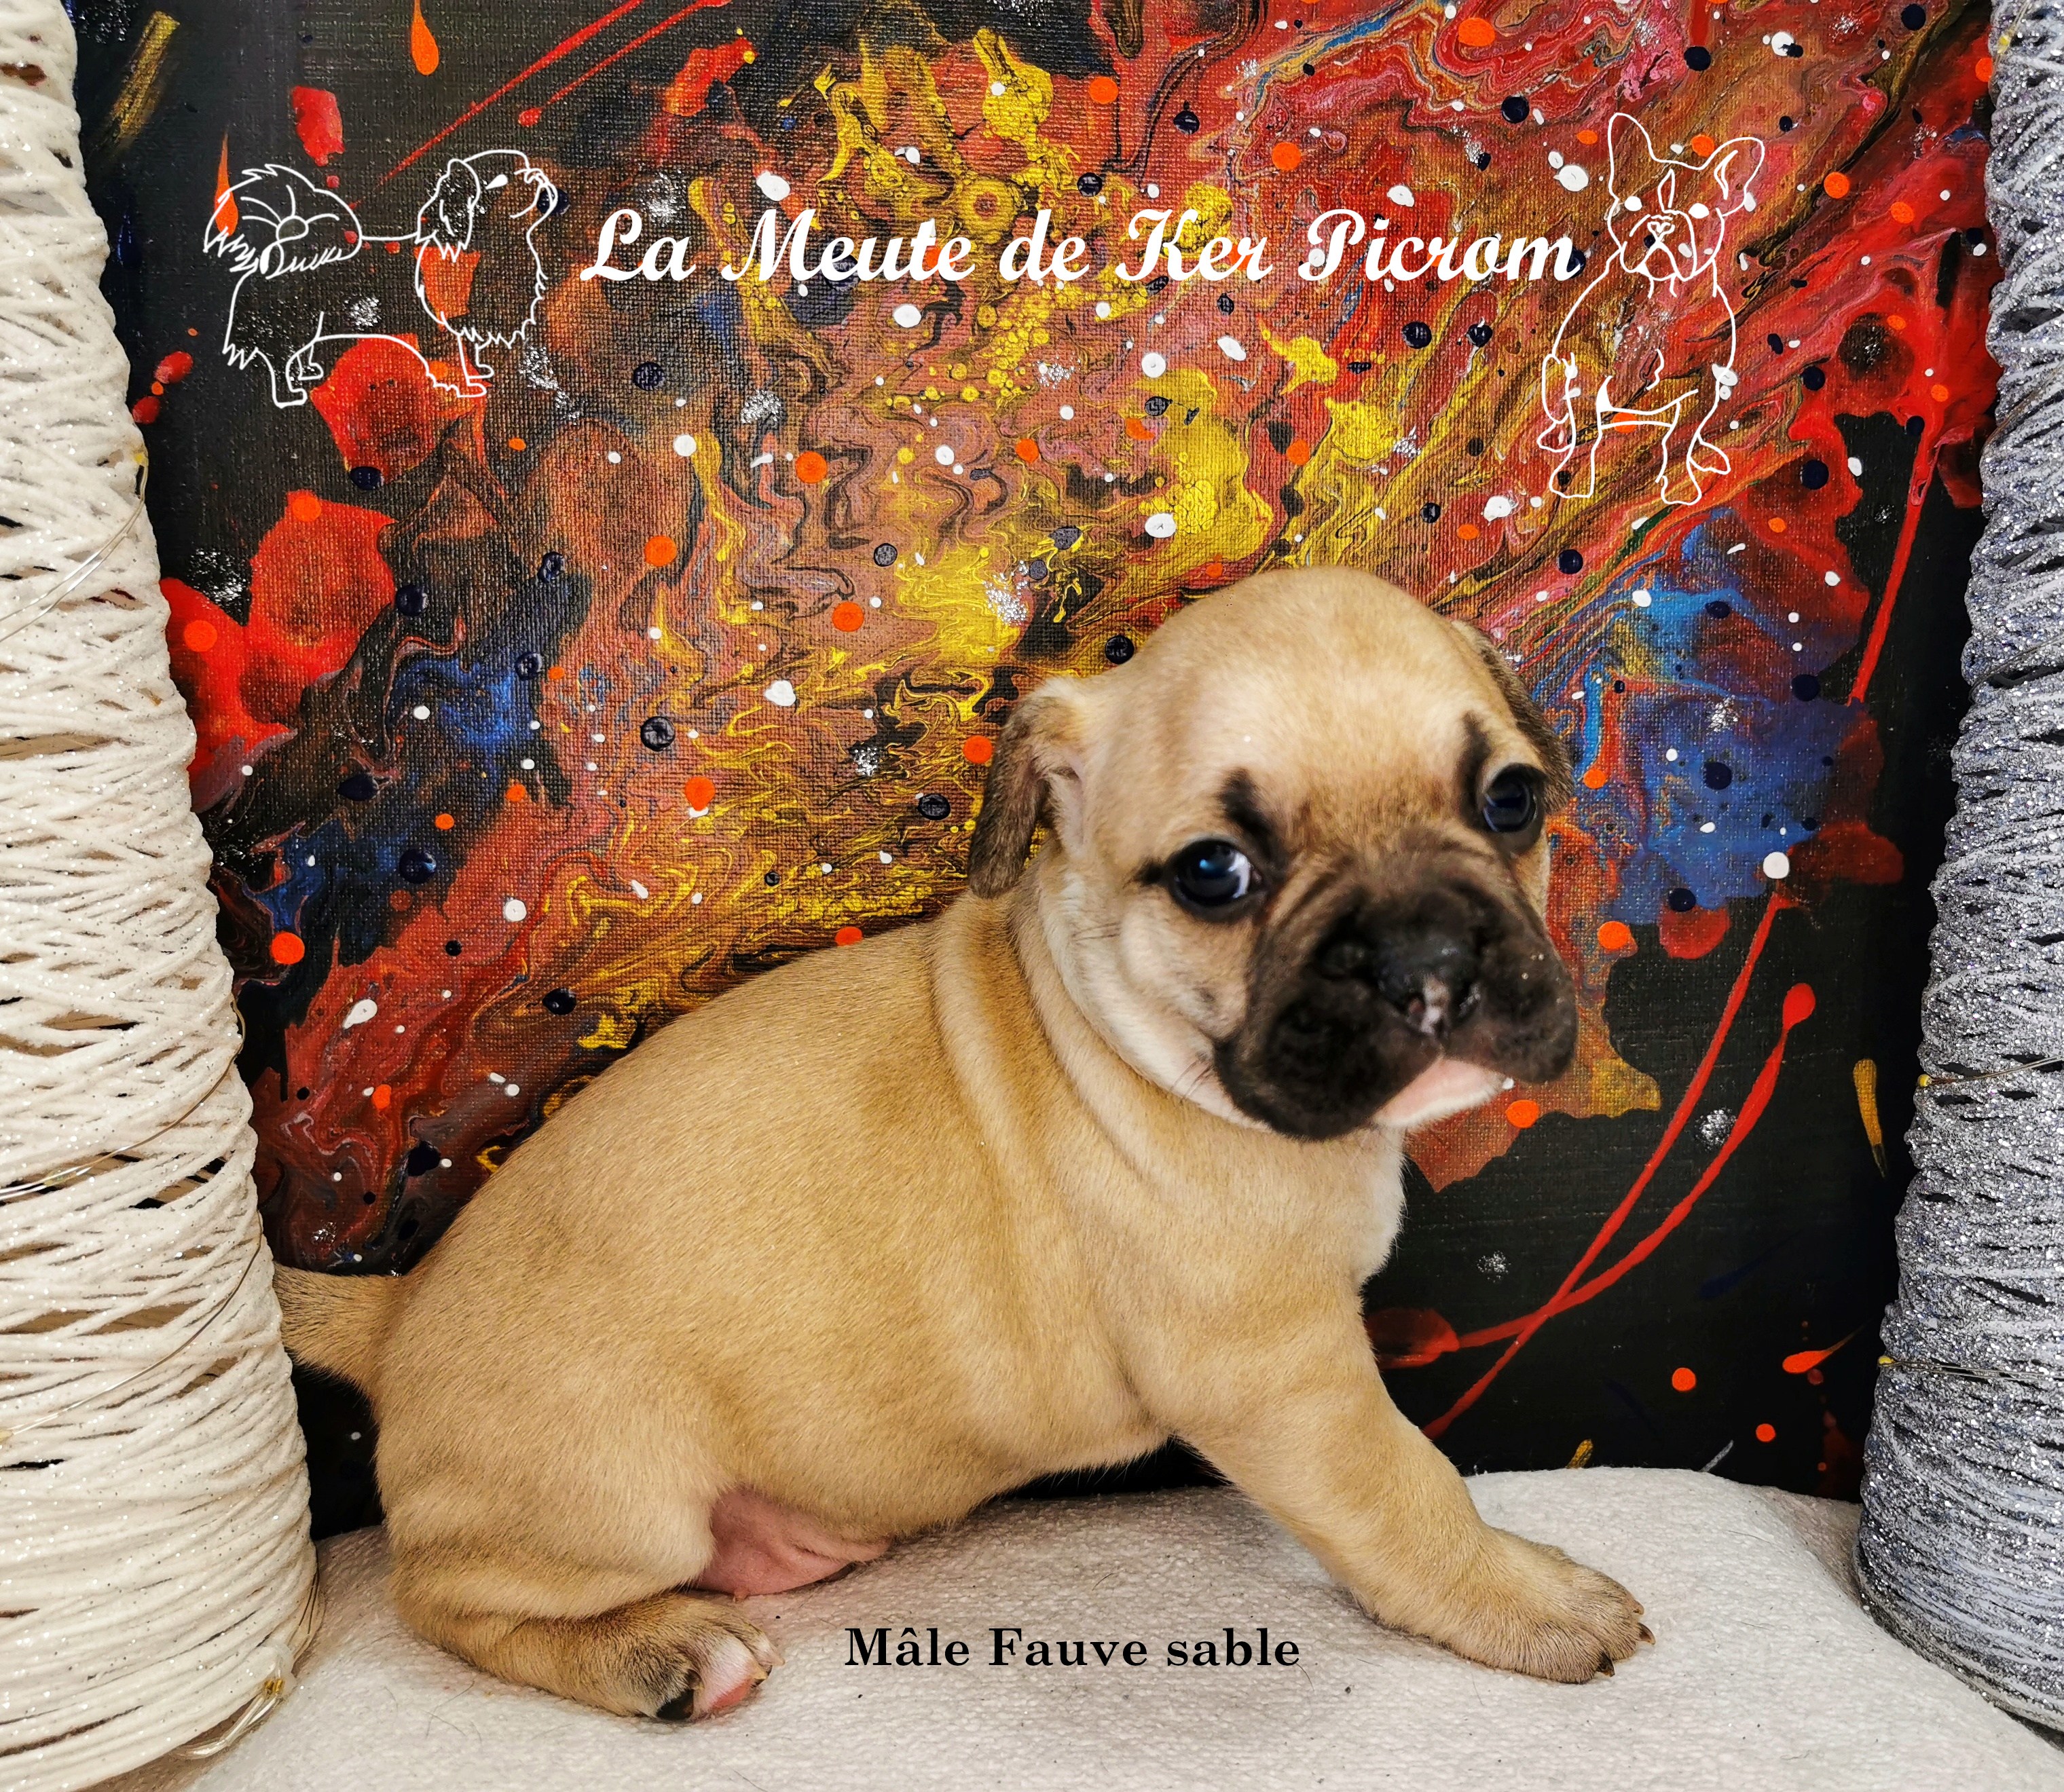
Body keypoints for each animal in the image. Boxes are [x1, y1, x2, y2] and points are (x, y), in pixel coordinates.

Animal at [276, 569, 1648, 1721]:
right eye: (1214, 873)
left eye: (1513, 800)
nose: (1429, 958)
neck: (1128, 1031)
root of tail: (398, 1313)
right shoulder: (1284, 1376)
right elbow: (1409, 1495)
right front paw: (1526, 1597)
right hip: (612, 1509)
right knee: (446, 1603)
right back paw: (660, 1652)